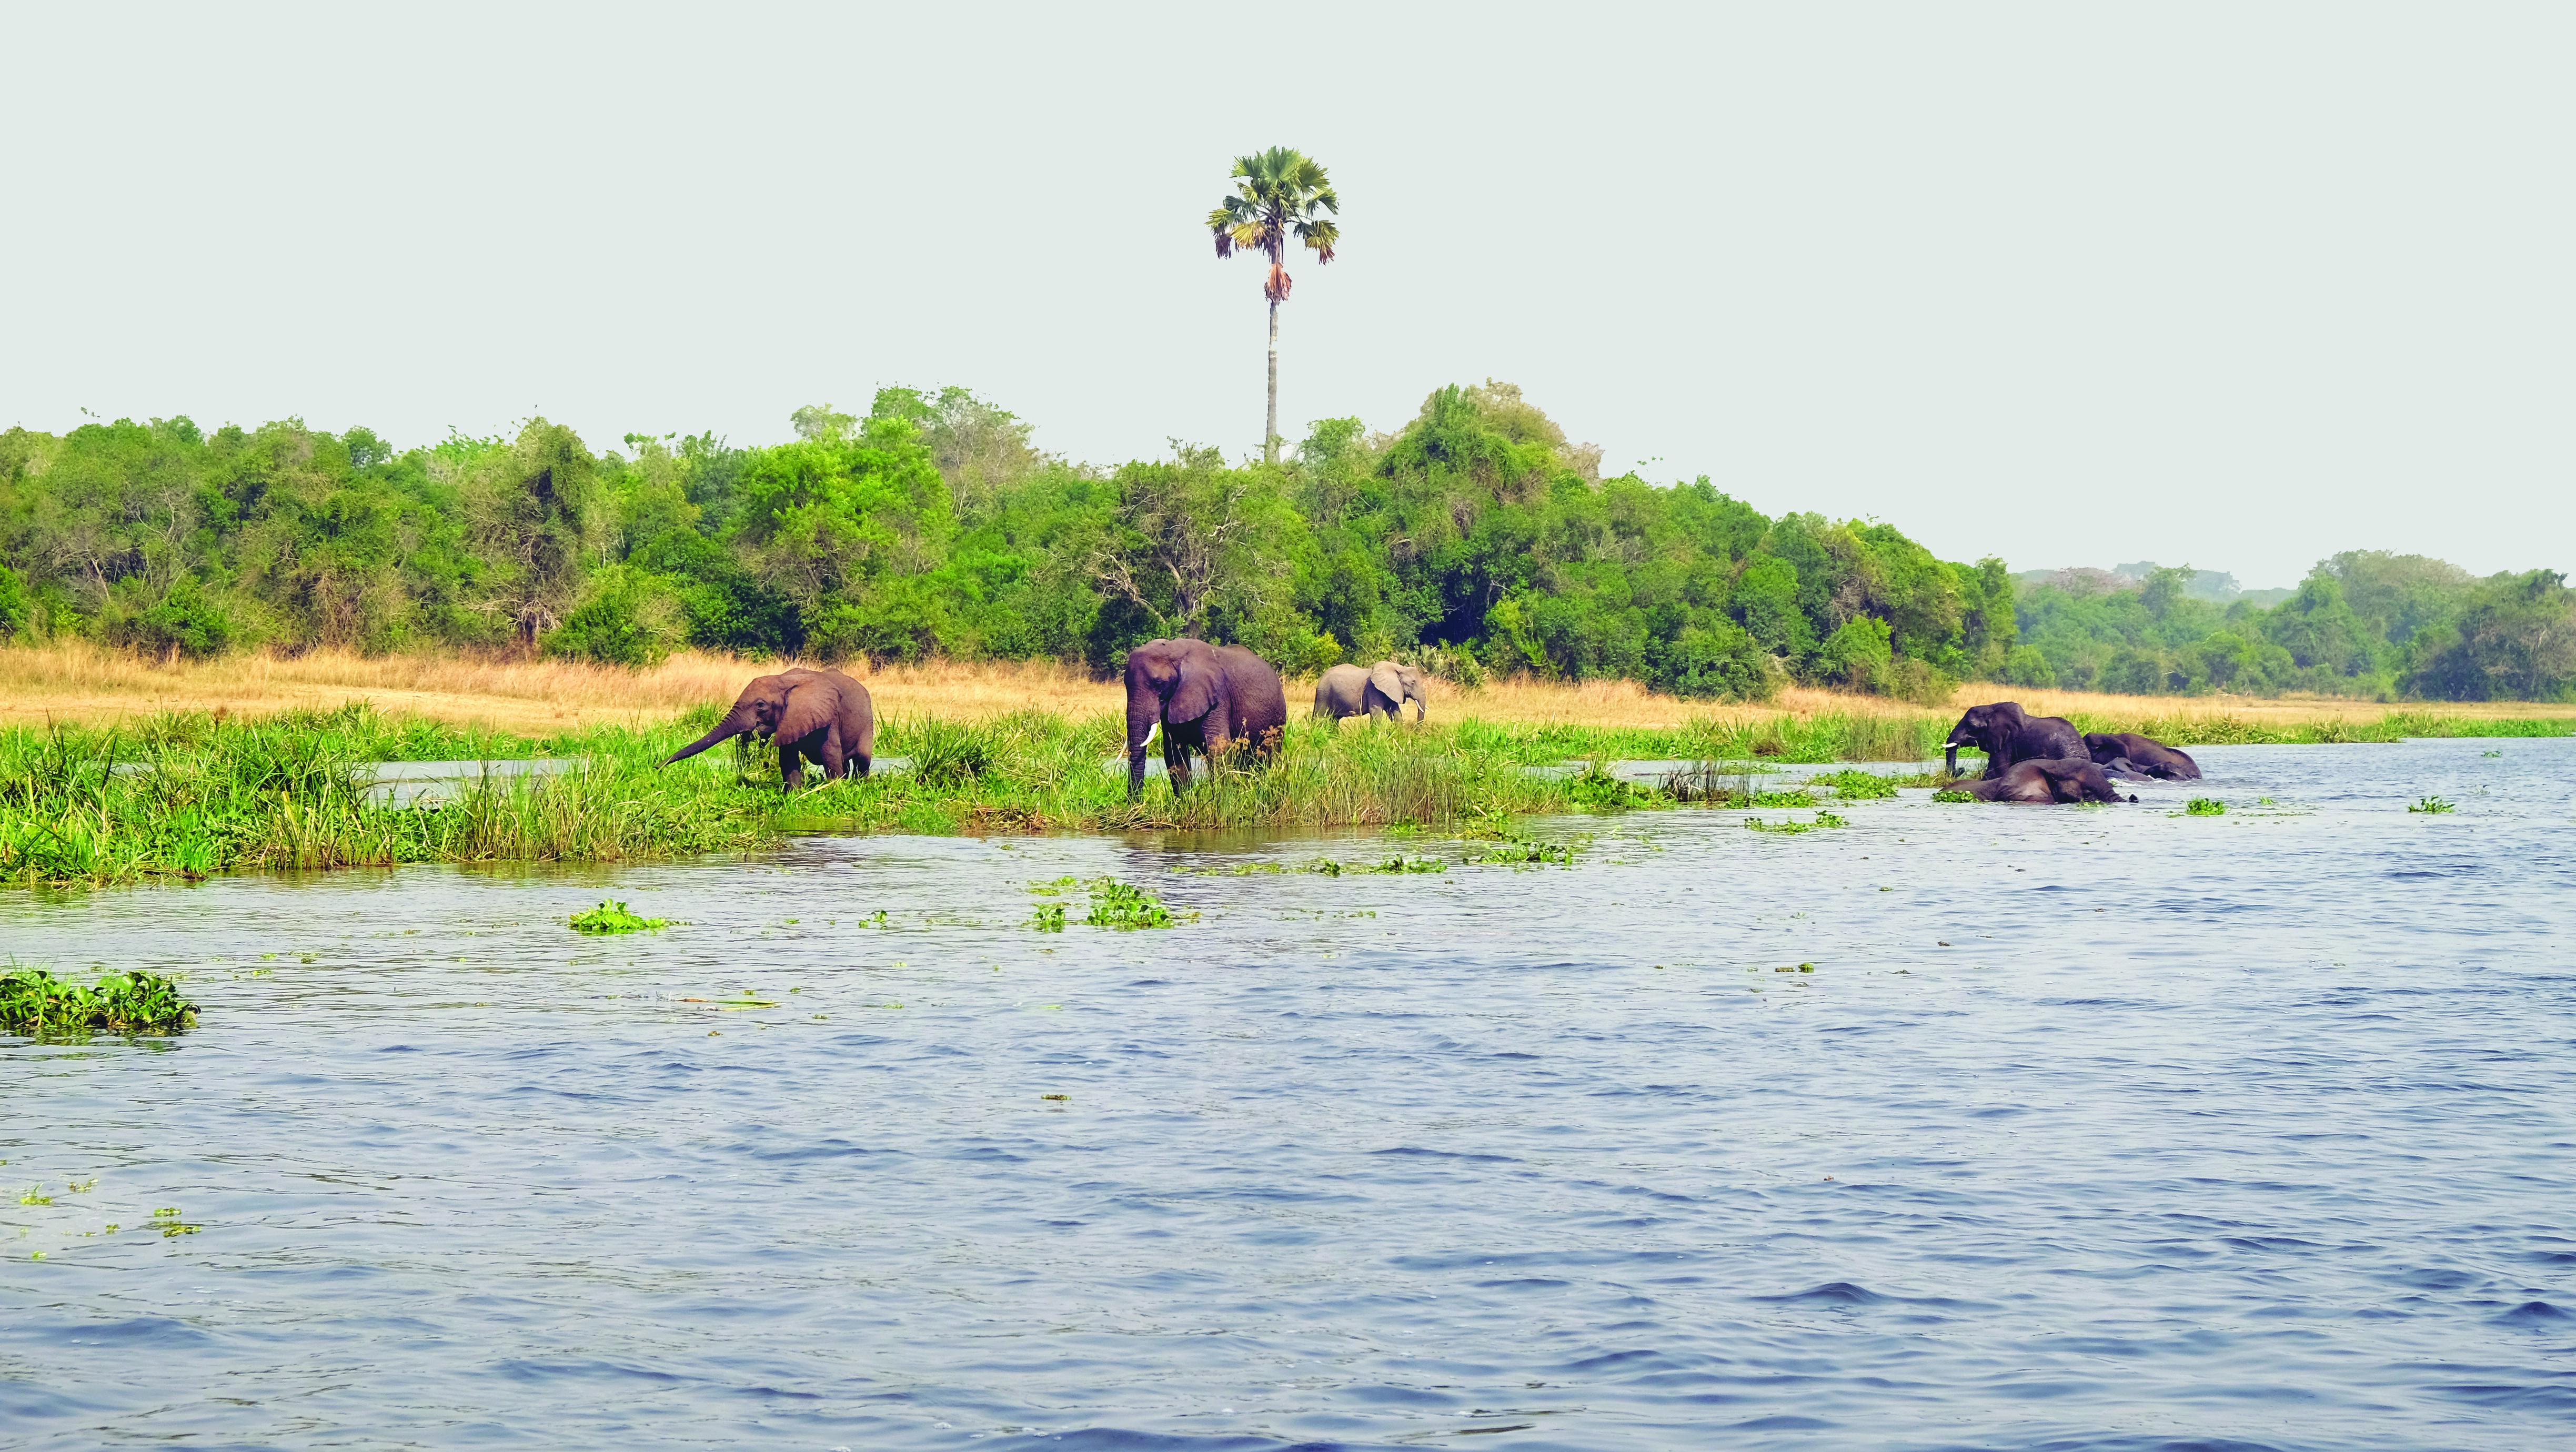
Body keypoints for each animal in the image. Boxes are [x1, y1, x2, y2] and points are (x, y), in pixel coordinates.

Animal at [662, 667, 875, 789]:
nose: (658, 767)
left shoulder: (828, 717)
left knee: (861, 760)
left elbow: (830, 756)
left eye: (760, 705)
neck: (784, 681)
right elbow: (788, 760)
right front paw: (794, 795)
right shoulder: (789, 721)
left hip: (868, 721)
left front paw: (833, 791)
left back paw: (861, 787)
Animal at [1125, 638, 1289, 801]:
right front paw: (1185, 802)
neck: (1175, 650)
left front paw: (1222, 801)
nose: (1136, 804)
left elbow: (1218, 748)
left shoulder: (1218, 699)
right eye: (1125, 684)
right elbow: (1174, 752)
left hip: (1277, 719)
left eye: (1159, 684)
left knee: (1268, 759)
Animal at [1314, 660, 1427, 726]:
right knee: (1320, 717)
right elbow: (1376, 712)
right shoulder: (1374, 690)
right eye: (1412, 683)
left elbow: (1396, 713)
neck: (1398, 668)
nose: (1417, 731)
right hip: (1324, 694)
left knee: (1335, 720)